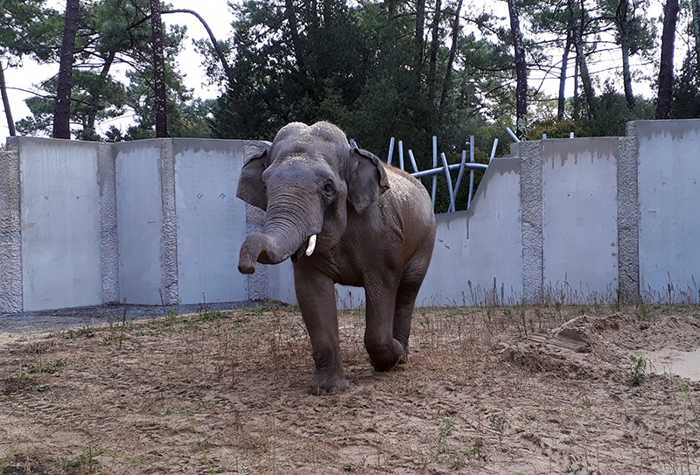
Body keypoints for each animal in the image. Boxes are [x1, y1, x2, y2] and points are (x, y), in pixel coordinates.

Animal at [238, 122, 434, 394]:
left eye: (328, 187)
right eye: (265, 185)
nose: (246, 266)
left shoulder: (383, 236)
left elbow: (382, 287)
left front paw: (389, 358)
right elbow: (311, 291)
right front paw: (328, 389)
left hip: (425, 242)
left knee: (407, 291)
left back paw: (402, 355)